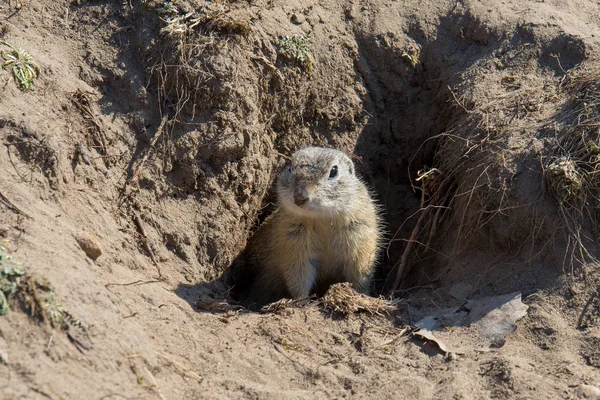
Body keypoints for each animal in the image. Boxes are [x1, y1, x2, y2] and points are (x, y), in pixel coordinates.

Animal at [243, 147, 380, 306]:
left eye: (334, 171)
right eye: (290, 168)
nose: (299, 197)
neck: (322, 218)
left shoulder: (360, 238)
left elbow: (360, 274)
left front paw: (361, 296)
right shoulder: (293, 242)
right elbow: (299, 275)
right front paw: (302, 300)